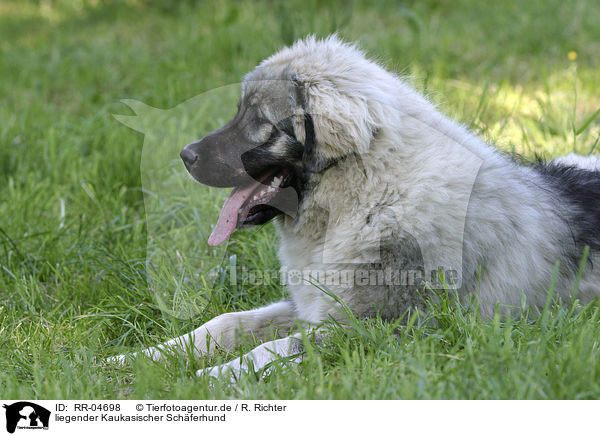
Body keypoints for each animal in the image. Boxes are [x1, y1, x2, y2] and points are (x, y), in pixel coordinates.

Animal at [111, 35, 600, 380]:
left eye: (260, 123)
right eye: (237, 113)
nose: (185, 155)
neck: (368, 196)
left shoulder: (371, 325)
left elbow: (273, 349)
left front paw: (210, 376)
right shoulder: (312, 305)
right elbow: (225, 323)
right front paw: (144, 357)